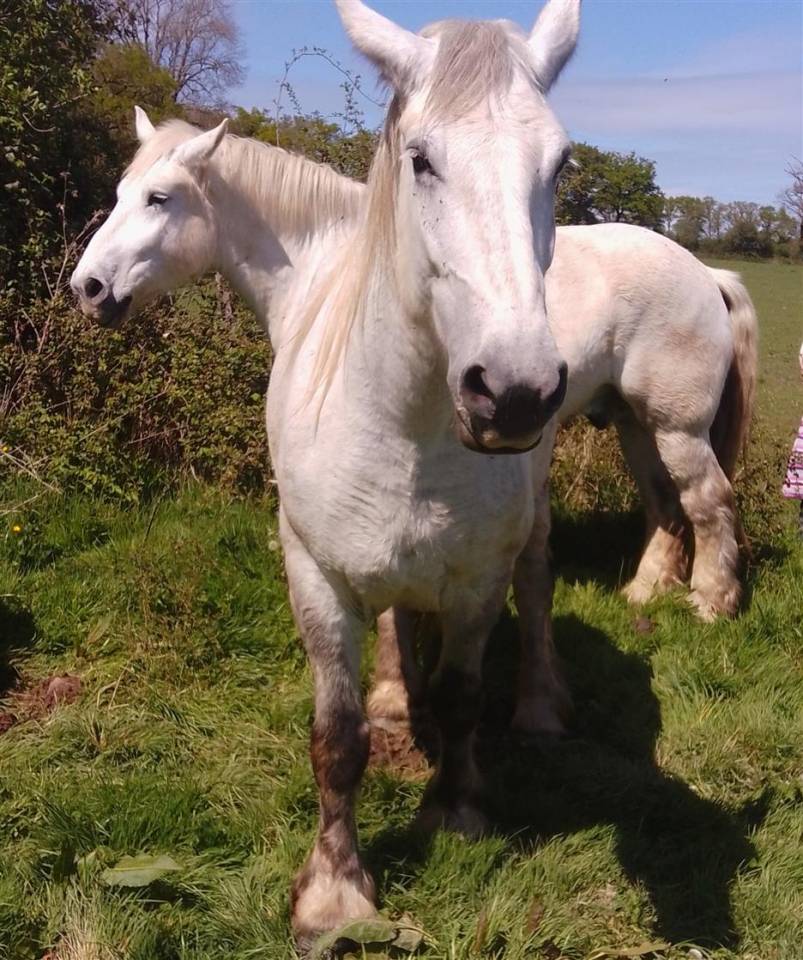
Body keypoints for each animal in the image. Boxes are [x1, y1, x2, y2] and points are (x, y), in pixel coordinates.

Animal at [73, 0, 582, 943]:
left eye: (559, 163)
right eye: (420, 158)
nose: (513, 392)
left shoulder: (476, 582)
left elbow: (461, 698)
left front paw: (456, 809)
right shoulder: (316, 573)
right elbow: (337, 736)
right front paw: (335, 891)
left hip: (527, 533)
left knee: (534, 597)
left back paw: (538, 705)